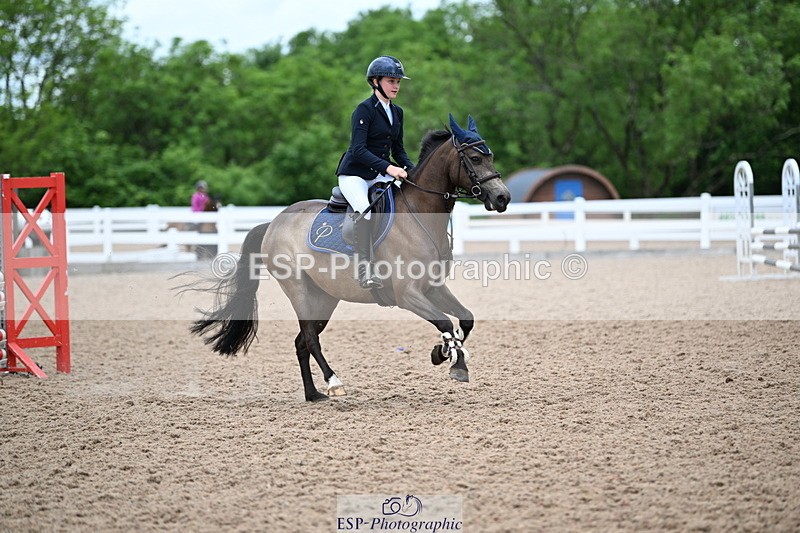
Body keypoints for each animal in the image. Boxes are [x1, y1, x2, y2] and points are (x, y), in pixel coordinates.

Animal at [189, 115, 510, 401]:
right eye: (475, 159)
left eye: (491, 157)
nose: (502, 198)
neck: (419, 218)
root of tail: (274, 222)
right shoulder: (407, 294)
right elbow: (444, 323)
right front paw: (447, 356)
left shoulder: (432, 288)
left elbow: (464, 320)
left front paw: (449, 357)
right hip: (298, 288)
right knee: (310, 338)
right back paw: (334, 383)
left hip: (325, 297)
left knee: (302, 341)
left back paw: (313, 395)